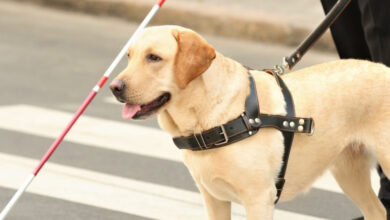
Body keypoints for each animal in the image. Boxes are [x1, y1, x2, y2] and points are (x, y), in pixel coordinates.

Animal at [109, 25, 390, 218]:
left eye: (154, 57)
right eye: (129, 56)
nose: (114, 87)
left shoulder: (259, 198)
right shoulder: (213, 198)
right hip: (348, 172)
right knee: (377, 211)